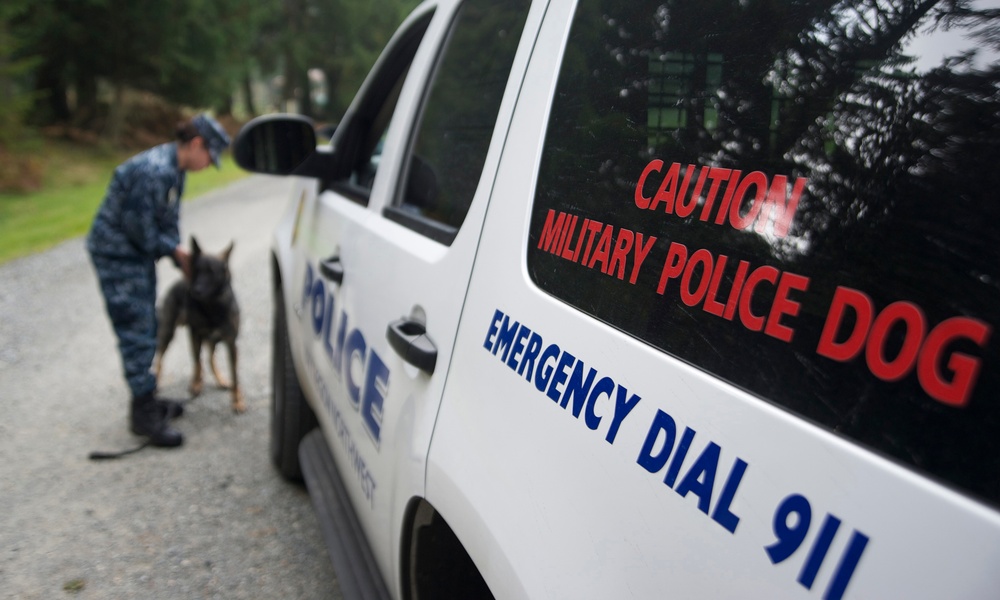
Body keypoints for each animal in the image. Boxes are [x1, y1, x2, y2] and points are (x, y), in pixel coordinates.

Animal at [153, 238, 245, 412]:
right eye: (197, 270)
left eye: (212, 272)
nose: (196, 291)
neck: (211, 307)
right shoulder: (195, 335)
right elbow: (196, 361)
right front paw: (196, 384)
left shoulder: (231, 343)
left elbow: (235, 375)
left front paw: (238, 401)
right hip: (169, 333)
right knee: (160, 358)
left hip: (212, 340)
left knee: (209, 359)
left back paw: (220, 379)